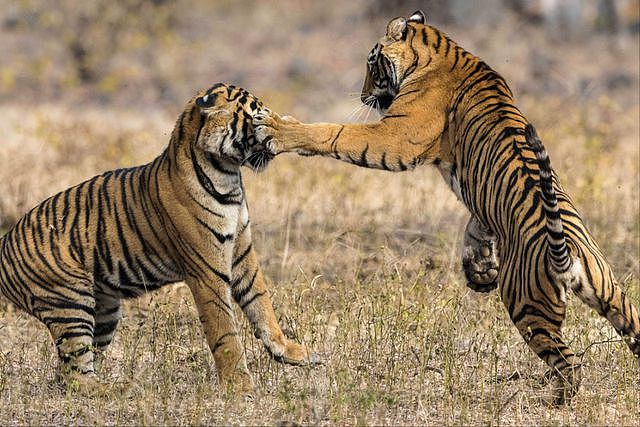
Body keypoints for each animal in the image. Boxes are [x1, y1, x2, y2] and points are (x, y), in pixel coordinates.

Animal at [0, 83, 319, 396]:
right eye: (256, 117)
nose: (276, 133)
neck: (228, 176)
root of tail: (5, 242)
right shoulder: (207, 271)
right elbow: (225, 331)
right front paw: (239, 386)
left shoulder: (242, 252)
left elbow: (261, 303)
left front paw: (292, 352)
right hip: (70, 303)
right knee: (74, 376)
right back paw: (122, 389)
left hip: (104, 310)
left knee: (67, 374)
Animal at [253, 11, 640, 404]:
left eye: (371, 63)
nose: (363, 95)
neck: (440, 51)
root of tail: (568, 254)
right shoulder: (479, 204)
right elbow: (475, 229)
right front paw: (479, 270)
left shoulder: (396, 138)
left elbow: (336, 133)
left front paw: (277, 128)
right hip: (614, 296)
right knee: (628, 328)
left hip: (528, 306)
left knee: (569, 364)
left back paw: (553, 399)